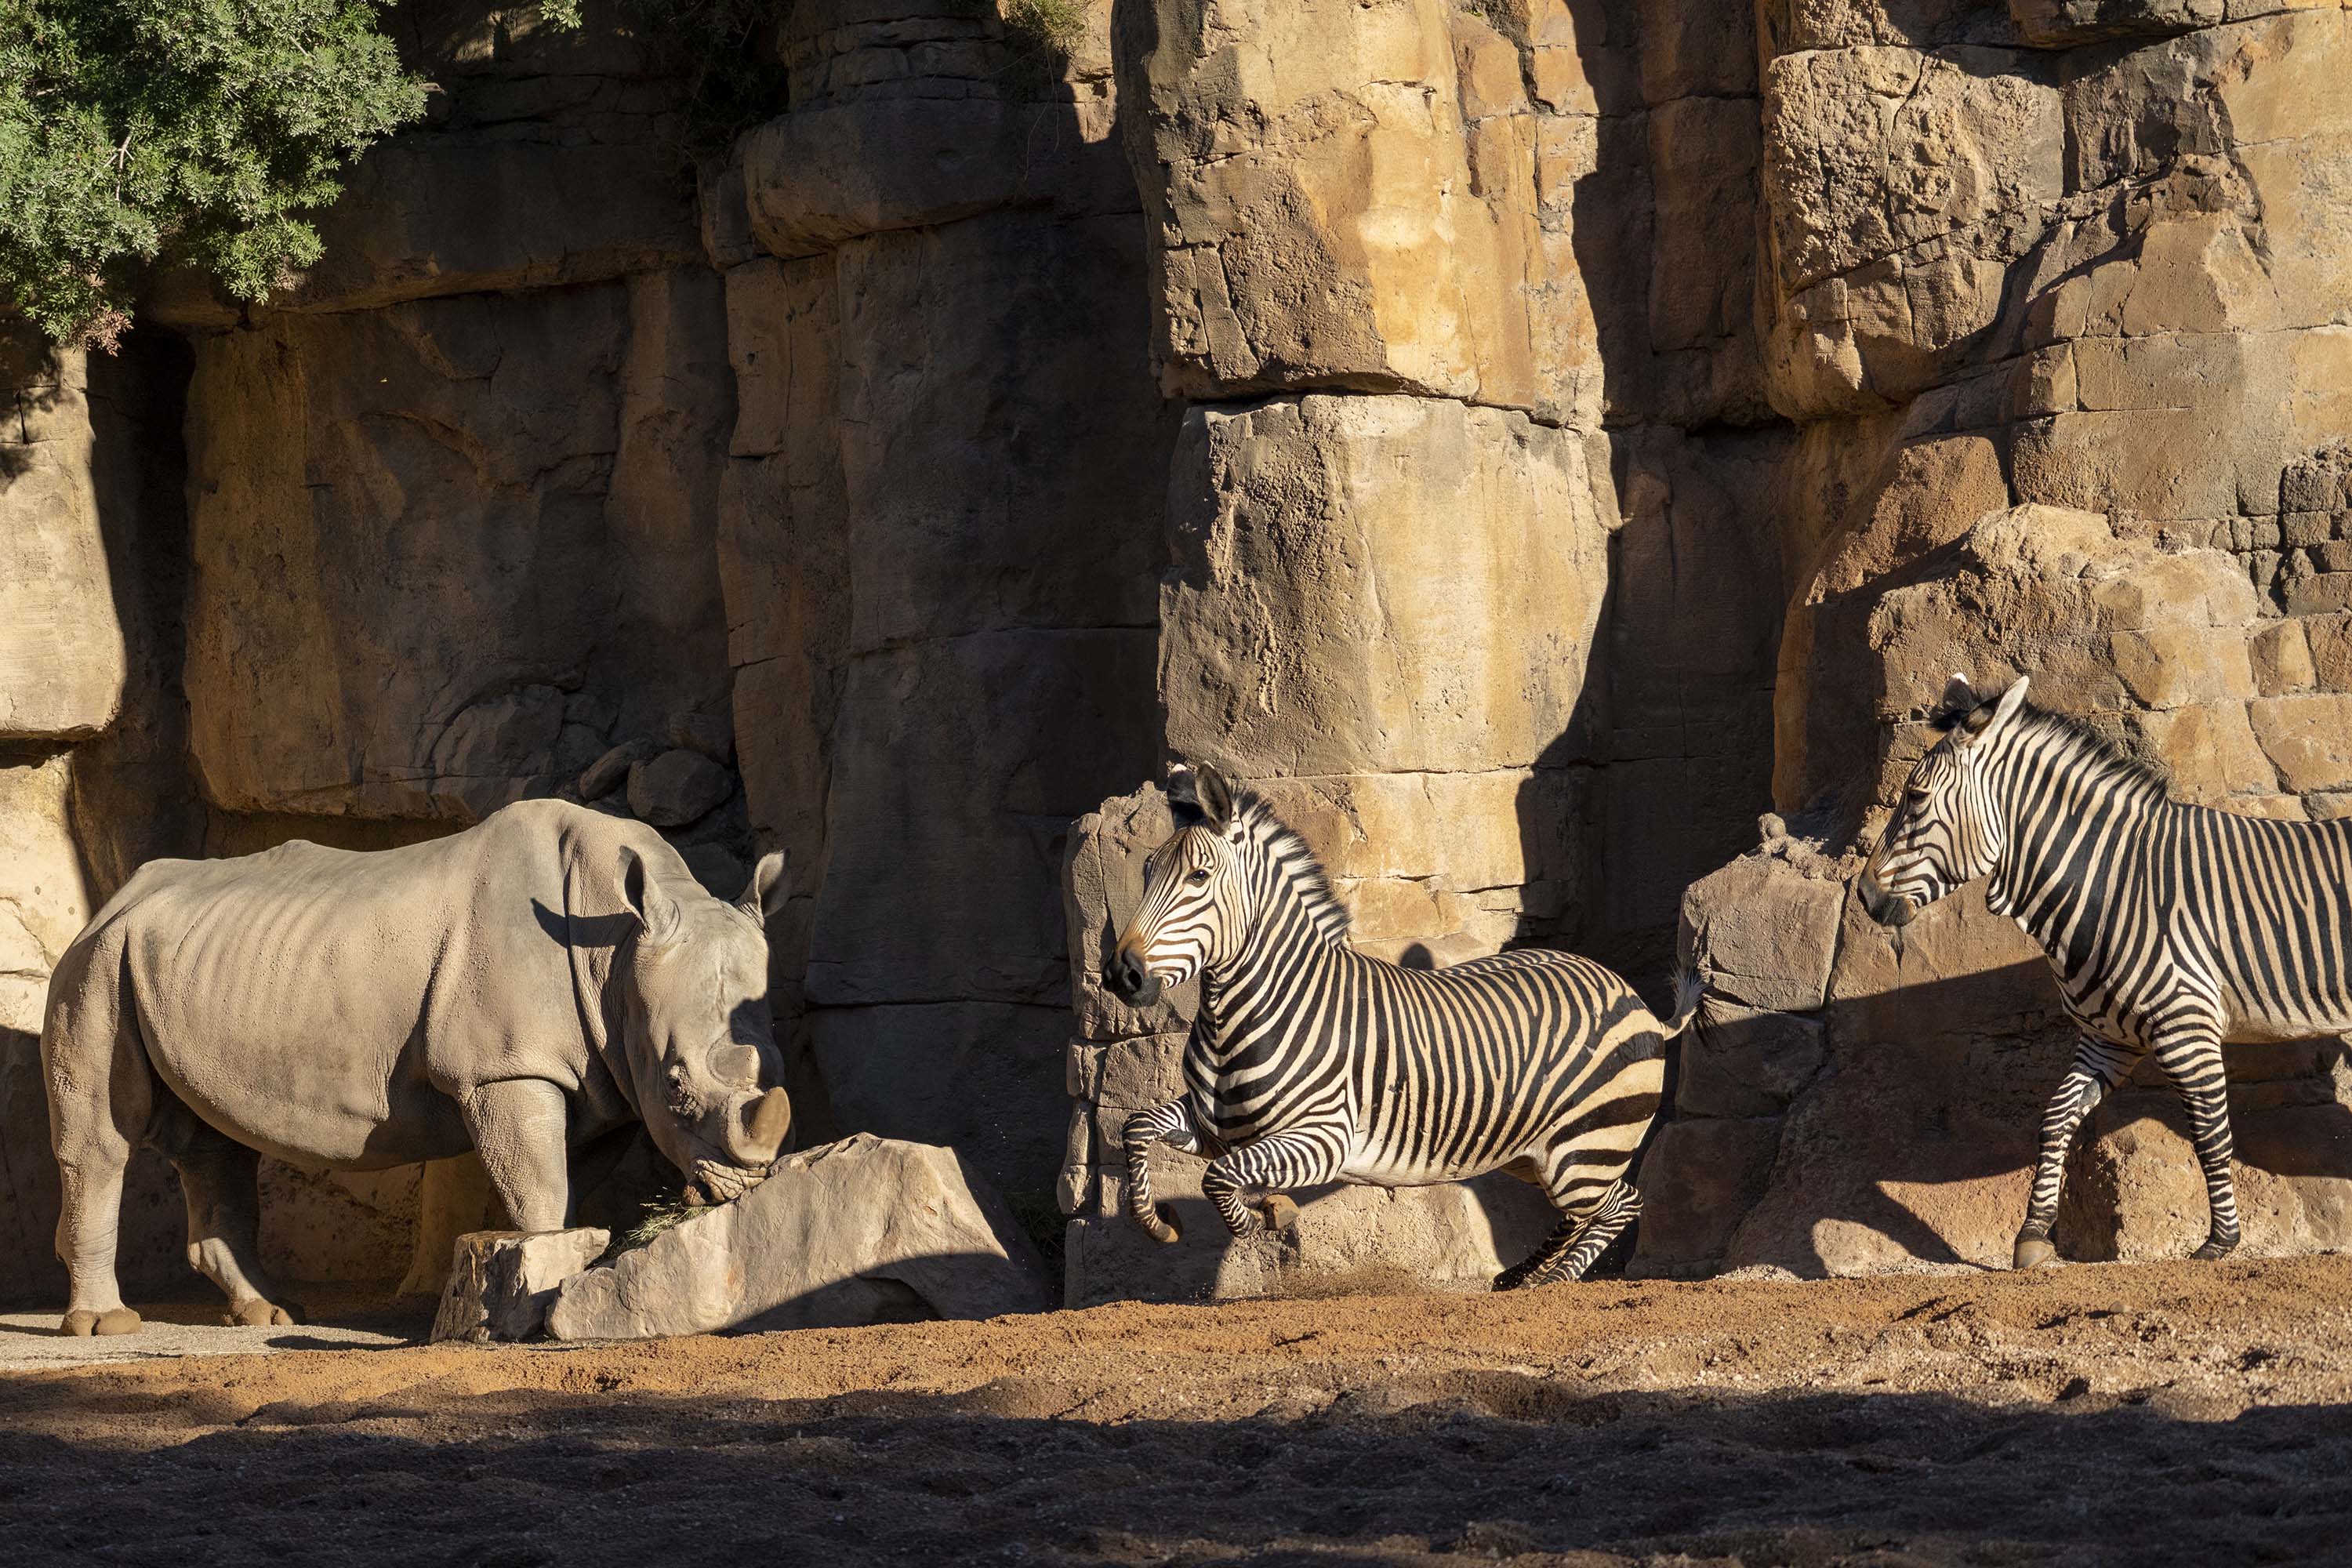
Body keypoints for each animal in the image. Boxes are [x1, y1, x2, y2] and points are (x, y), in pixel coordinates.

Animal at [1101, 761, 1693, 1288]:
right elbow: (1138, 1127)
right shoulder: (1214, 1128)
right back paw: (1520, 1276)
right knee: (1586, 1212)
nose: (1120, 974)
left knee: (1620, 1204)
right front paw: (1159, 1224)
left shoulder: (1323, 1138)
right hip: (1530, 1152)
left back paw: (1552, 1283)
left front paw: (1268, 1214)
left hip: (1584, 1149)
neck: (1239, 1020)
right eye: (1147, 874)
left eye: (1199, 877)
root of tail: (1634, 997)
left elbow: (1218, 1178)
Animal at [1853, 677, 2352, 1279]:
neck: (2112, 882)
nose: (1864, 896)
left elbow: (2209, 1135)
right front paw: (2033, 1236)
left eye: (1917, 798)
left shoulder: (2185, 1025)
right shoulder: (2108, 1036)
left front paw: (2220, 1243)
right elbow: (2056, 1116)